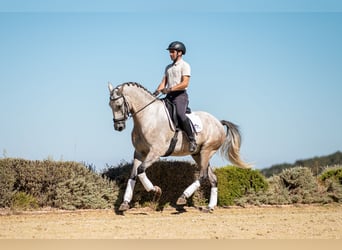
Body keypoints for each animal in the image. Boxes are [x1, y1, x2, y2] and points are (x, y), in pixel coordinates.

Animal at [107, 82, 248, 213]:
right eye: (110, 105)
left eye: (118, 105)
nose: (118, 127)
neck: (148, 117)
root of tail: (218, 122)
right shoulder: (139, 153)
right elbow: (133, 175)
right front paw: (125, 203)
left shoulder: (155, 152)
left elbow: (141, 170)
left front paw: (155, 190)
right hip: (198, 154)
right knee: (212, 178)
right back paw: (209, 207)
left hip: (207, 150)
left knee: (203, 175)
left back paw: (183, 197)